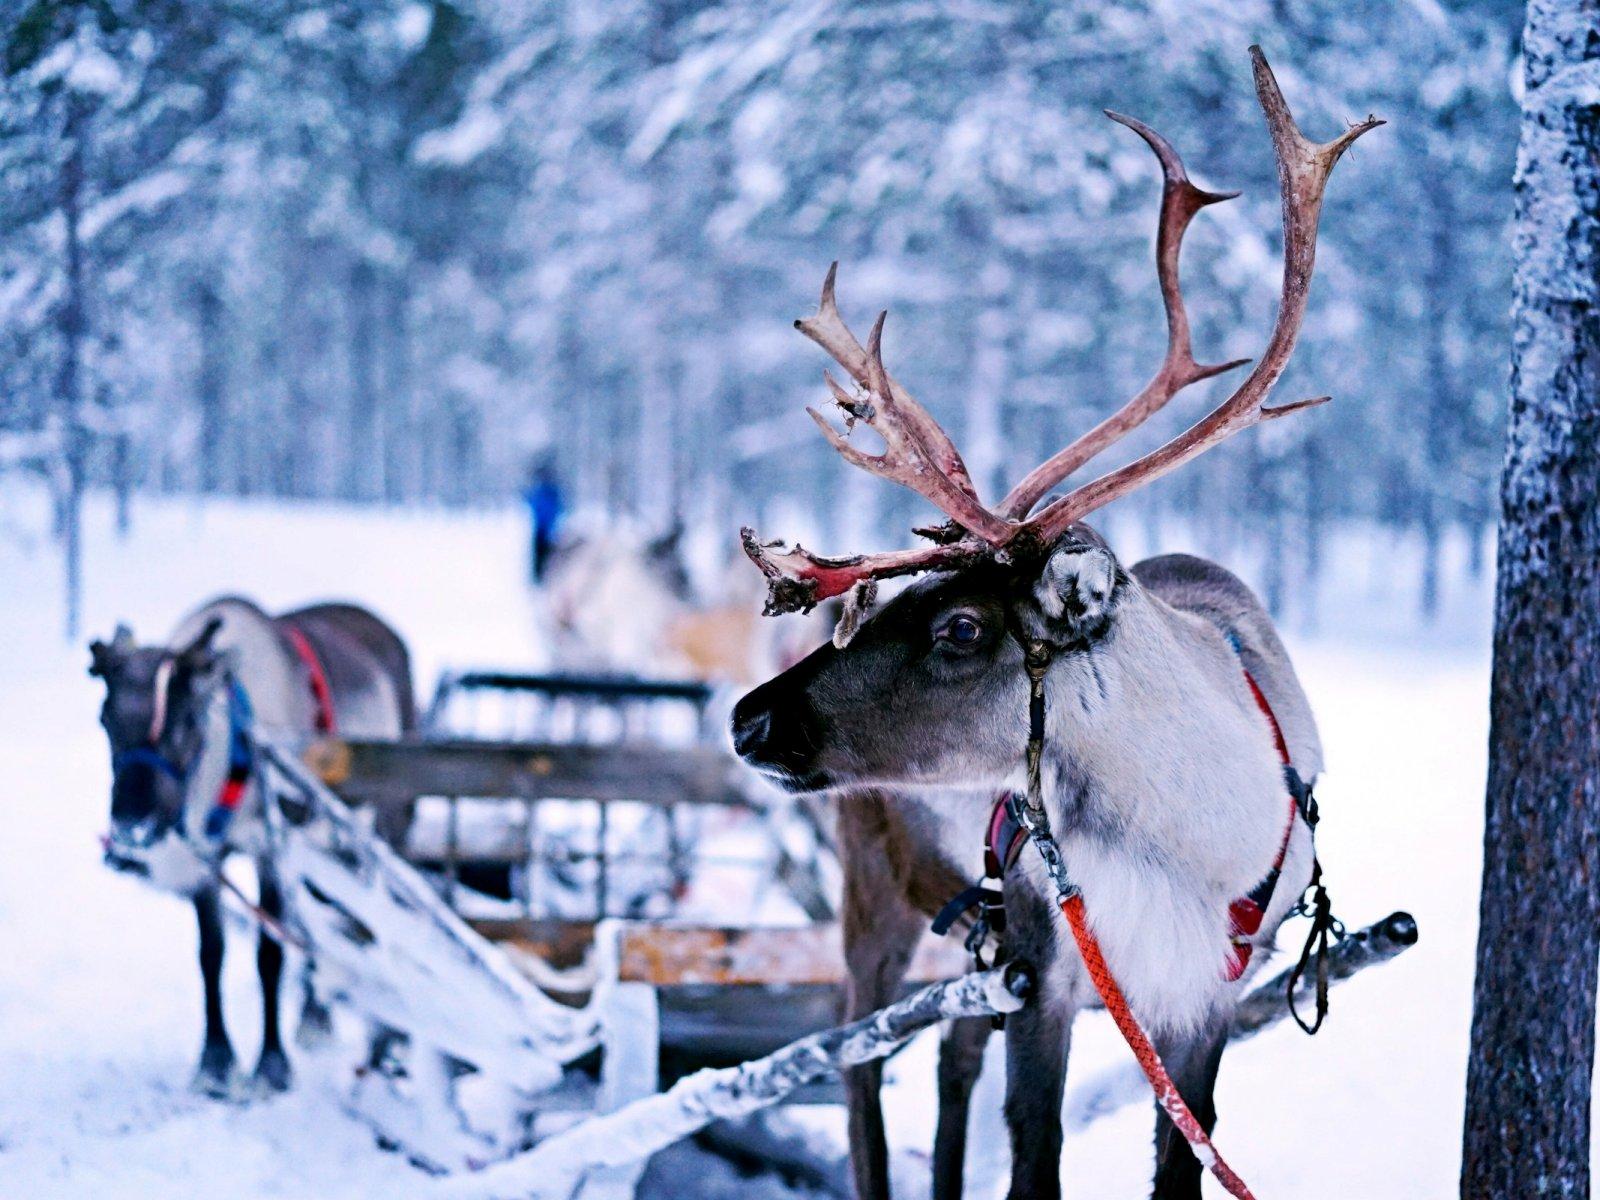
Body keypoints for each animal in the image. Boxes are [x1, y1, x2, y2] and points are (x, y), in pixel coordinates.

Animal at [730, 48, 1379, 1200]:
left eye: (958, 628)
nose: (747, 719)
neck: (1186, 844)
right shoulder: (1047, 967)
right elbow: (1035, 1154)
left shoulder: (1202, 994)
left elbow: (1183, 1157)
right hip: (874, 897)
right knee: (857, 1055)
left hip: (963, 942)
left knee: (945, 1055)